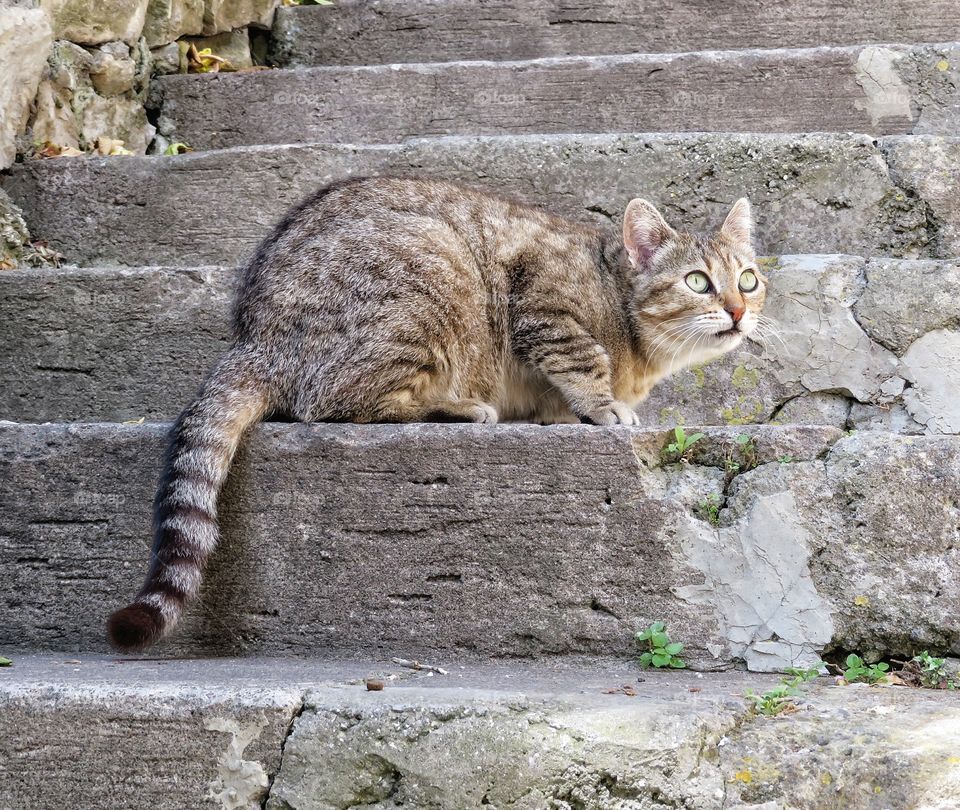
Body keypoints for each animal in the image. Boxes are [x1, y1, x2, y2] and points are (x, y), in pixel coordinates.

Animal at [107, 177, 764, 652]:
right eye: (698, 282)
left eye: (749, 280)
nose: (738, 310)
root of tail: (255, 337)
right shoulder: (544, 298)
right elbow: (580, 359)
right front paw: (601, 406)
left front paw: (568, 412)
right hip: (431, 271)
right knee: (338, 403)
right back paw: (456, 407)